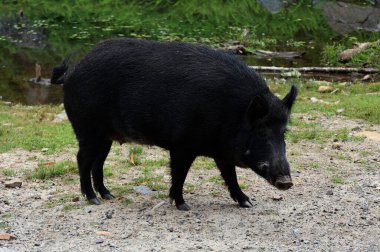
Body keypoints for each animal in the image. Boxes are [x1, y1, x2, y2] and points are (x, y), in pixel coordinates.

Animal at [51, 38, 296, 211]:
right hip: (87, 129)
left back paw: (108, 195)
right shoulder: (182, 144)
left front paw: (247, 203)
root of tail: (70, 73)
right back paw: (93, 200)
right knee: (82, 159)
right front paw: (183, 206)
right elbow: (179, 174)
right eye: (261, 133)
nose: (286, 181)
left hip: (106, 136)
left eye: (283, 133)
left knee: (98, 163)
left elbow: (230, 176)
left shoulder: (222, 151)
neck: (232, 112)